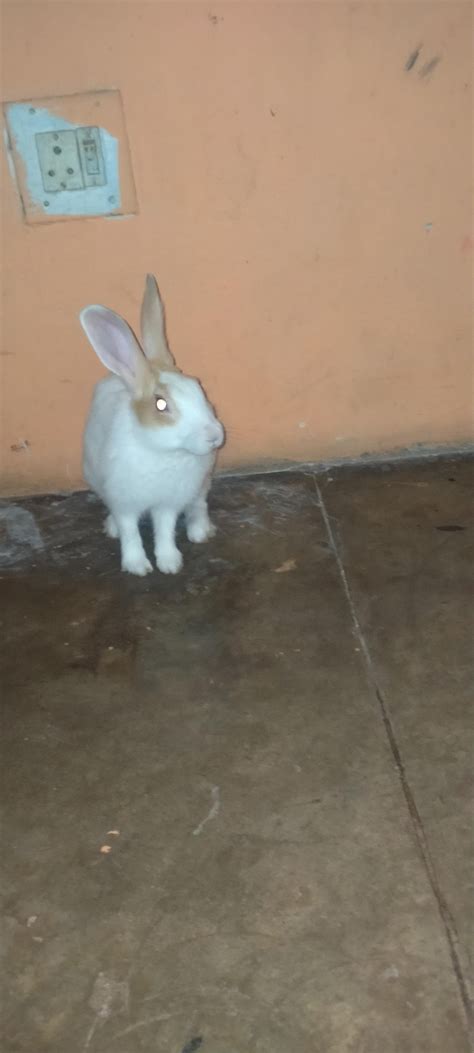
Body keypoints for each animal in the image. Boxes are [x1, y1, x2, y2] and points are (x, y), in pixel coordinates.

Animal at [80, 274, 225, 576]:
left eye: (198, 386)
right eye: (160, 405)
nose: (215, 436)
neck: (163, 452)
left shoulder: (167, 503)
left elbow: (165, 530)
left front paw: (170, 563)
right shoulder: (124, 502)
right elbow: (130, 532)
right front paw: (137, 566)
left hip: (201, 482)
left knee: (198, 504)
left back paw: (200, 531)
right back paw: (111, 528)